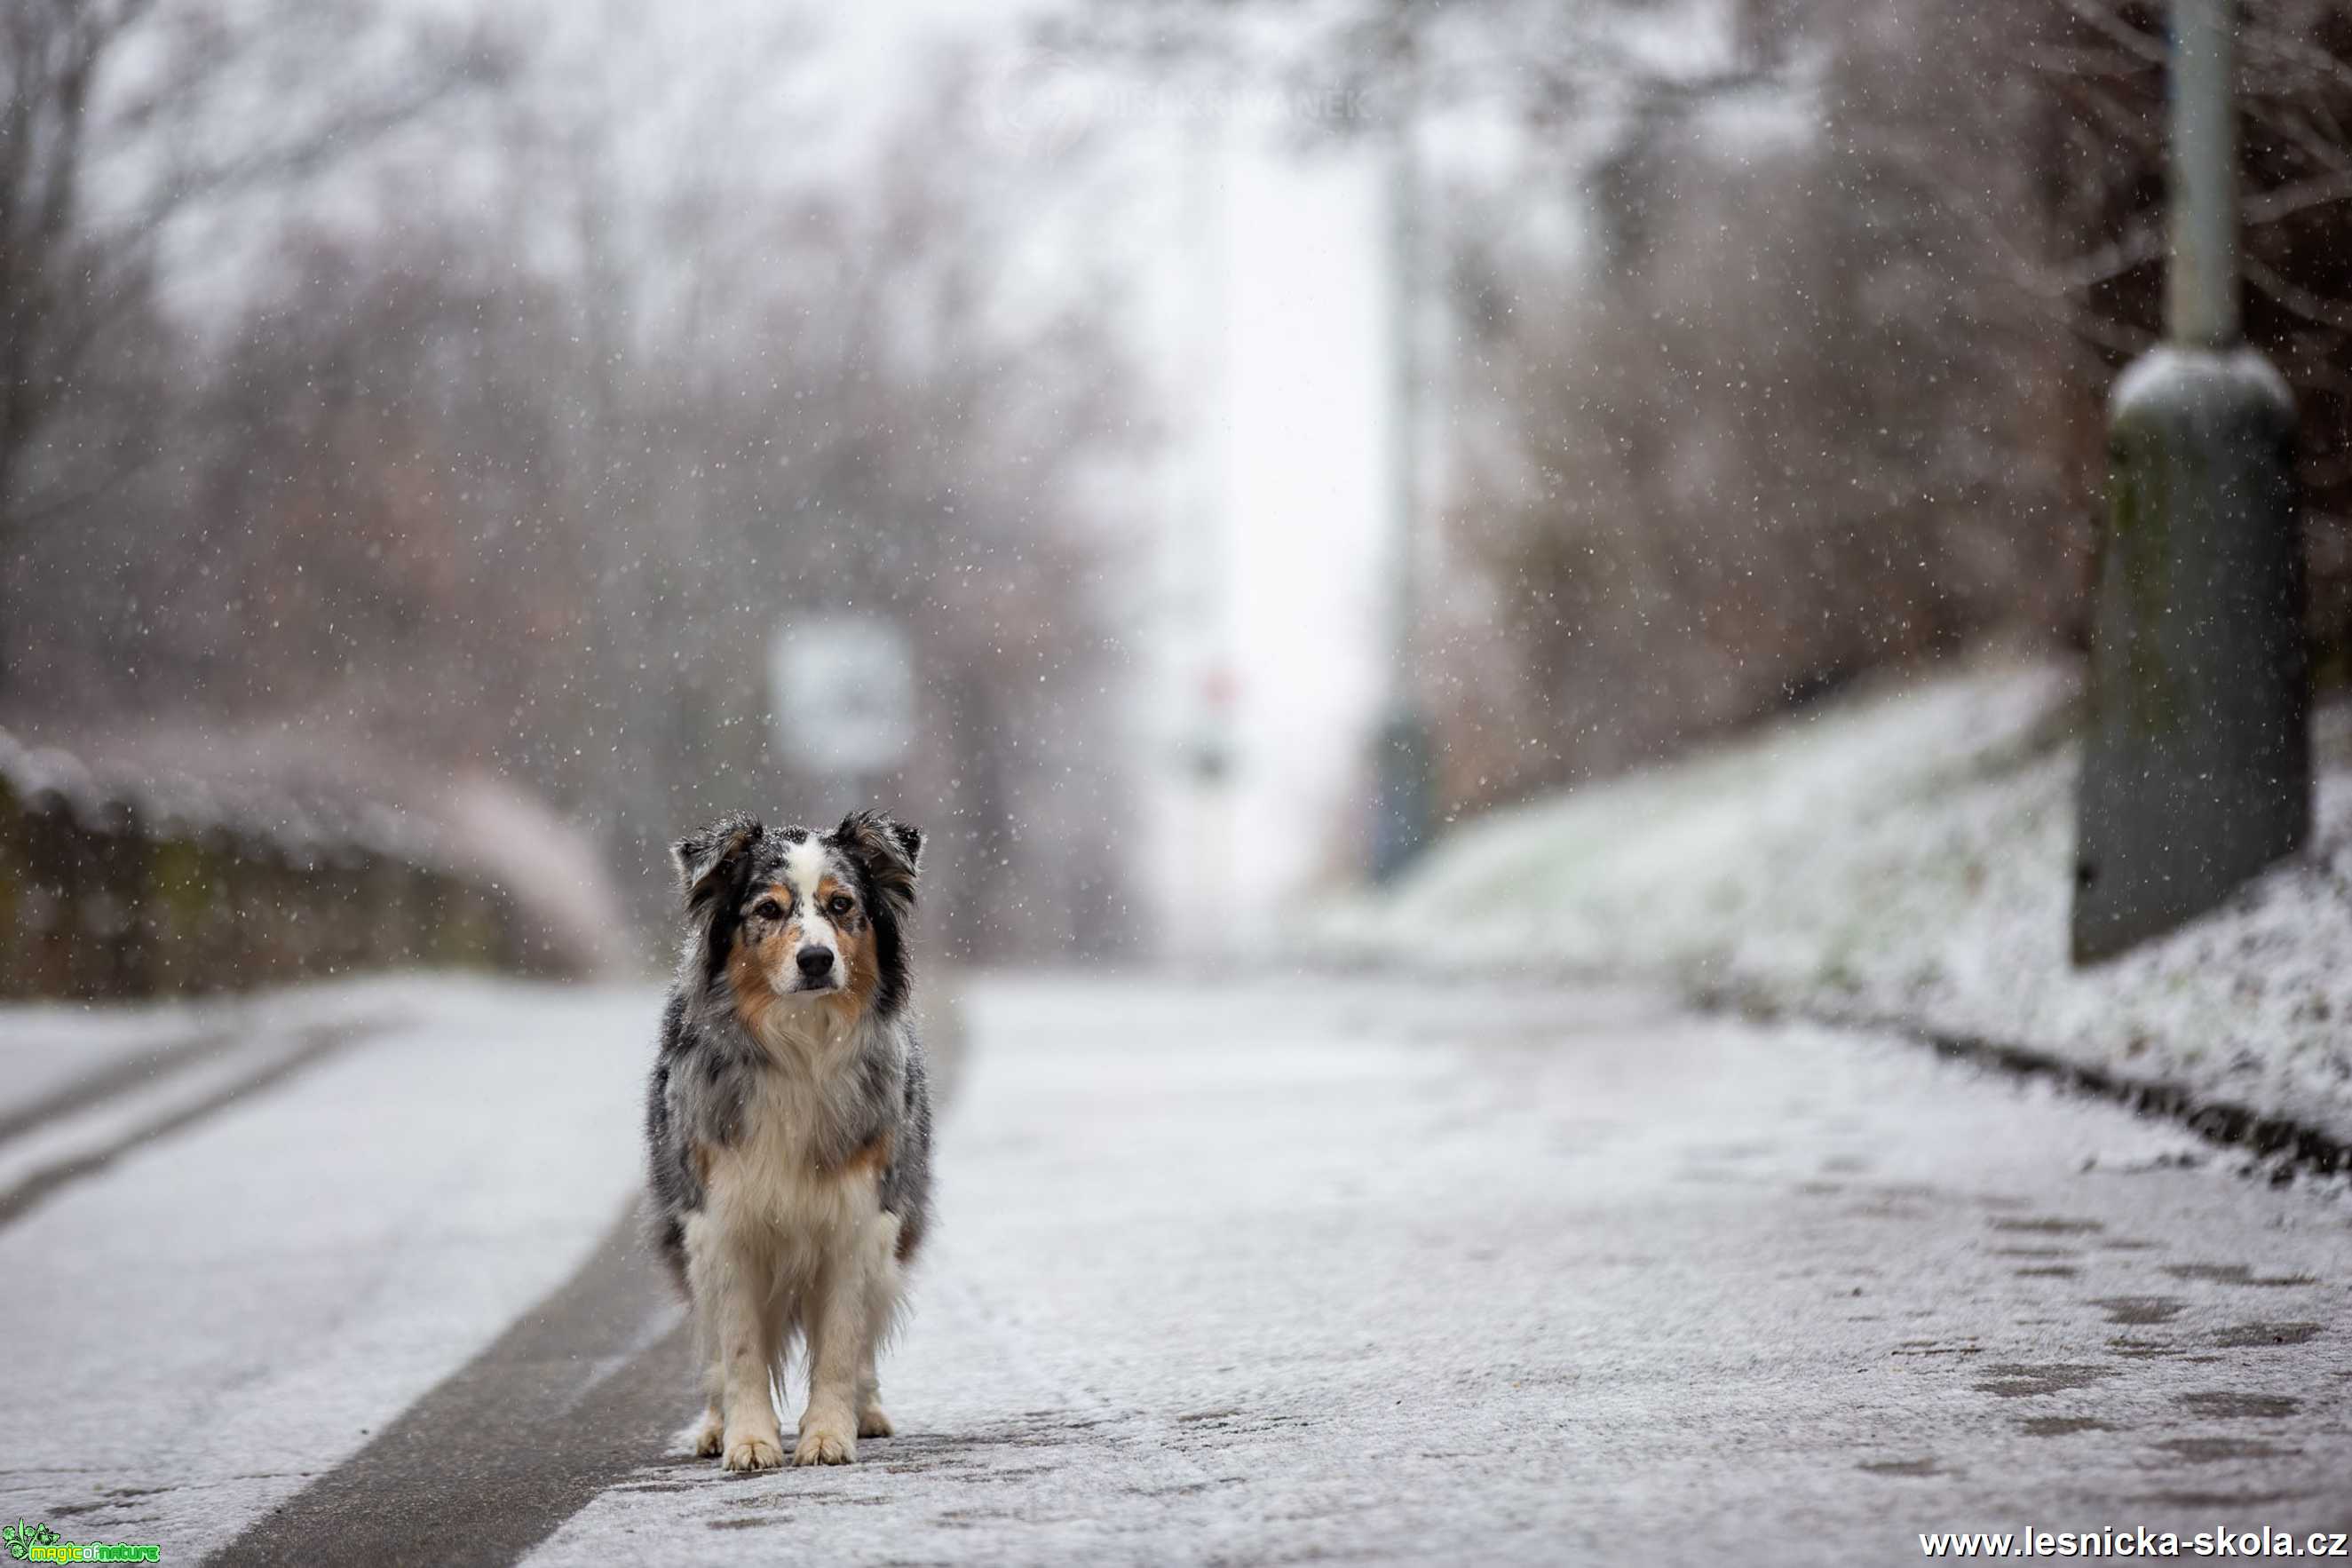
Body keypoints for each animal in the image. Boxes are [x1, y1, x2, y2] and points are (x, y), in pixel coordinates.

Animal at [649, 808, 940, 1476]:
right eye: (769, 909)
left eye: (841, 905)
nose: (815, 959)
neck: (801, 1044)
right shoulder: (719, 1222)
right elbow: (739, 1348)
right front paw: (749, 1440)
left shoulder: (859, 1218)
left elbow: (839, 1342)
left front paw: (828, 1435)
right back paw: (713, 1425)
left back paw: (866, 1410)